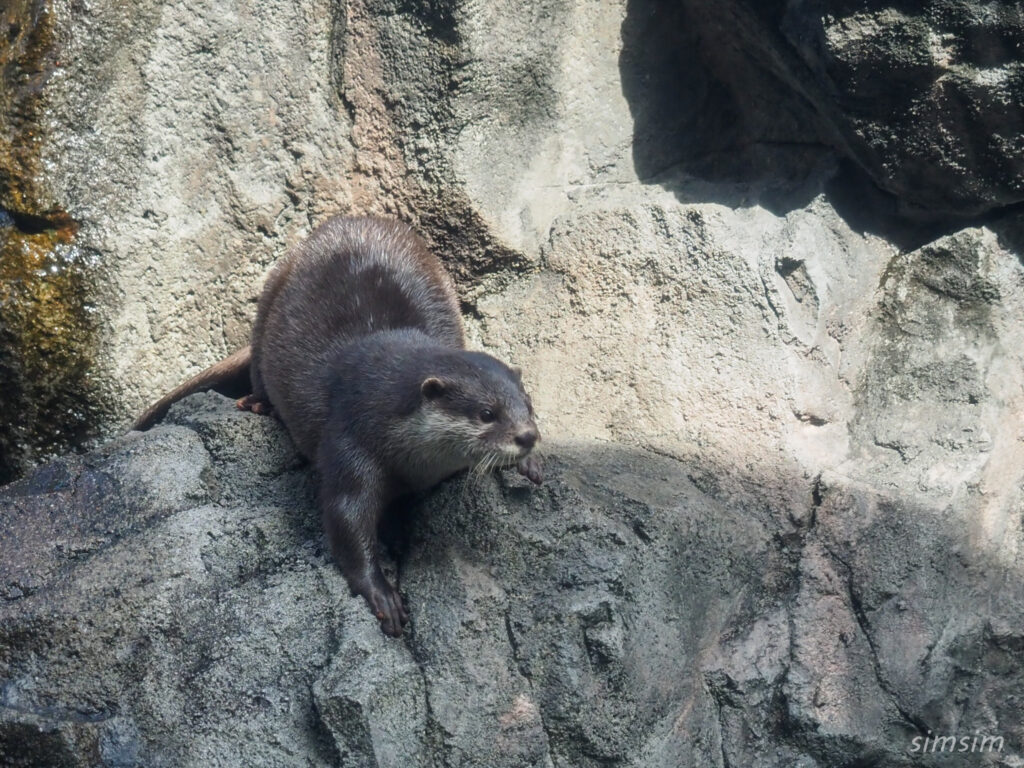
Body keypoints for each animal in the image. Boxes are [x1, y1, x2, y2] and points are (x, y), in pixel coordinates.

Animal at [134, 217, 544, 638]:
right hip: (273, 290)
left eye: (528, 406)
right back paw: (259, 402)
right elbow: (345, 516)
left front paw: (529, 464)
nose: (527, 436)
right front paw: (381, 594)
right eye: (486, 413)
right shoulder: (350, 435)